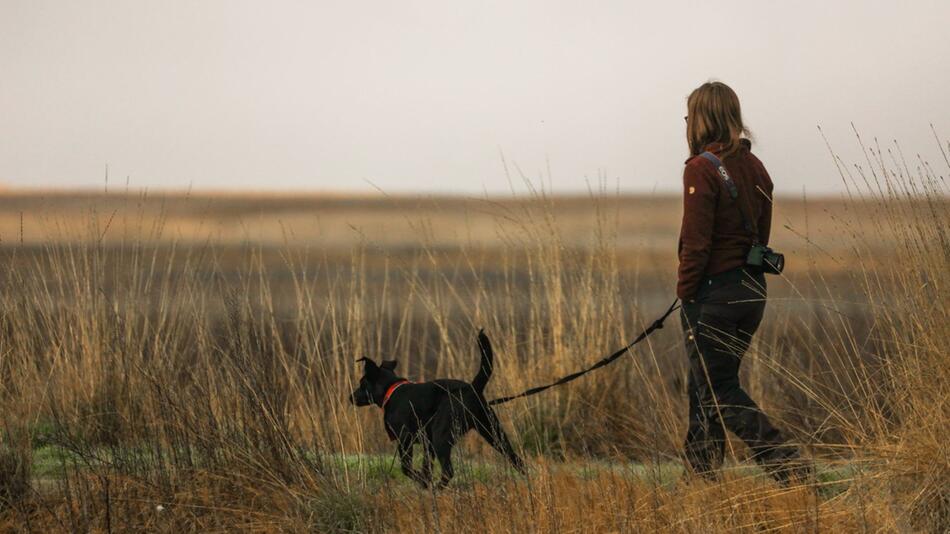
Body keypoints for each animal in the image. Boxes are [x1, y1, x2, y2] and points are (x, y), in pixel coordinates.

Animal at [350, 330, 528, 490]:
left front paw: (422, 481)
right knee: (516, 459)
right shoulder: (427, 444)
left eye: (362, 383)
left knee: (448, 471)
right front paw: (425, 482)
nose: (350, 397)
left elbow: (406, 468)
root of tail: (472, 388)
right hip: (493, 432)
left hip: (441, 437)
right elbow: (426, 467)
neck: (391, 390)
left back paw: (439, 488)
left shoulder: (405, 438)